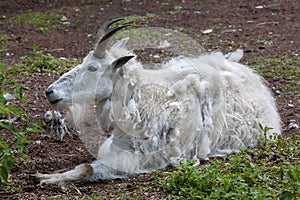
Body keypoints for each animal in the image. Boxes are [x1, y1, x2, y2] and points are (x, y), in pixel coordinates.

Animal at [35, 18, 282, 185]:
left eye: (93, 68)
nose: (50, 91)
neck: (144, 103)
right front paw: (45, 174)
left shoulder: (146, 158)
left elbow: (87, 168)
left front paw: (48, 178)